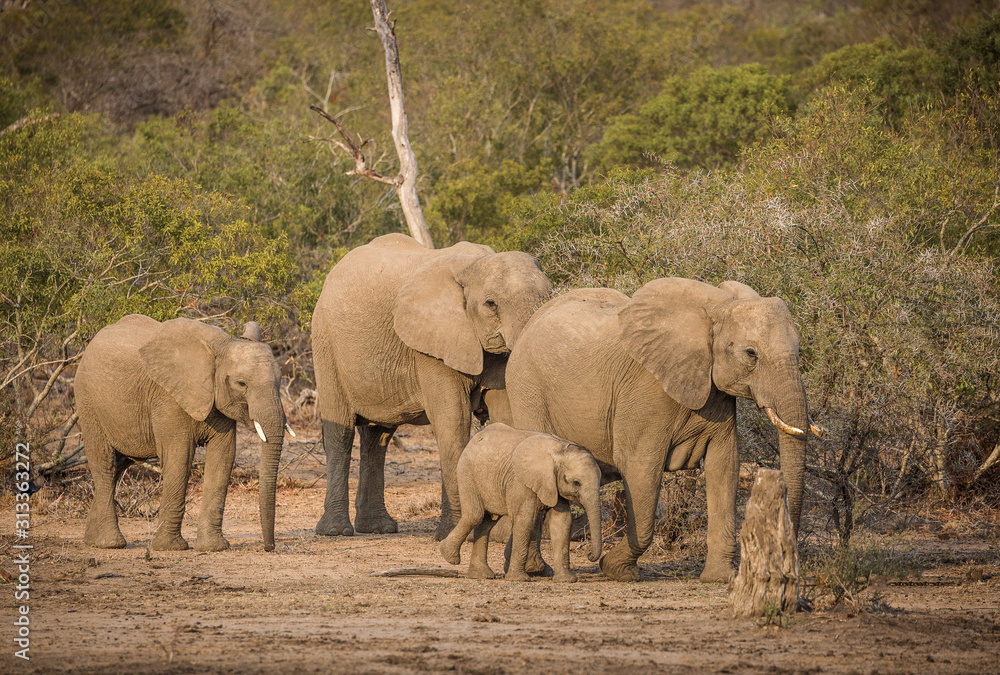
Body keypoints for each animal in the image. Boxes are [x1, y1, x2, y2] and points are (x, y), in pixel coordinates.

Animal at [74, 315, 288, 552]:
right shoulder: (168, 398)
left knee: (117, 467)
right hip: (87, 400)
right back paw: (110, 543)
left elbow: (223, 457)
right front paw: (170, 547)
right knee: (105, 463)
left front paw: (213, 547)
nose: (269, 547)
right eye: (241, 384)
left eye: (280, 380)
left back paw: (91, 540)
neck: (221, 347)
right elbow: (179, 457)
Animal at [311, 233, 553, 540]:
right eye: (491, 304)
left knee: (378, 436)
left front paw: (503, 535)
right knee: (340, 431)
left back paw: (378, 527)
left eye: (549, 296)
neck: (473, 265)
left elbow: (504, 416)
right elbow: (453, 421)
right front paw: (457, 535)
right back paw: (336, 531)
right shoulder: (430, 347)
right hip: (326, 344)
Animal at [439, 423, 603, 582]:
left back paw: (481, 575)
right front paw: (519, 579)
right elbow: (525, 520)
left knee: (487, 521)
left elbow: (561, 522)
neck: (559, 450)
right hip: (467, 473)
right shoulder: (520, 482)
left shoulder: (553, 485)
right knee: (475, 515)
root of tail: (475, 438)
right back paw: (449, 556)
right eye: (576, 483)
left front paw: (566, 580)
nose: (589, 555)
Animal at [500, 278, 821, 583]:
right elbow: (641, 468)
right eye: (751, 353)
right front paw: (617, 571)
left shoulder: (715, 392)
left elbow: (724, 466)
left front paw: (720, 579)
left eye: (799, 350)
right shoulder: (645, 391)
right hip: (526, 386)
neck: (717, 309)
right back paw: (536, 570)